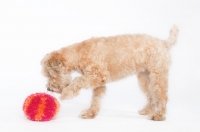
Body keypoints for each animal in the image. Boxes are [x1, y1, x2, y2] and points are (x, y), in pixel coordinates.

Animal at [40, 25, 178, 120]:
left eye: (50, 74)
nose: (48, 88)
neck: (79, 54)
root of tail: (163, 43)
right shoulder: (98, 82)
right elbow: (95, 99)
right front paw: (90, 113)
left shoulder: (98, 75)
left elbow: (78, 80)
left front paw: (67, 94)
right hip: (144, 78)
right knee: (151, 95)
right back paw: (147, 110)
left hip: (158, 77)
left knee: (162, 96)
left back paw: (159, 115)